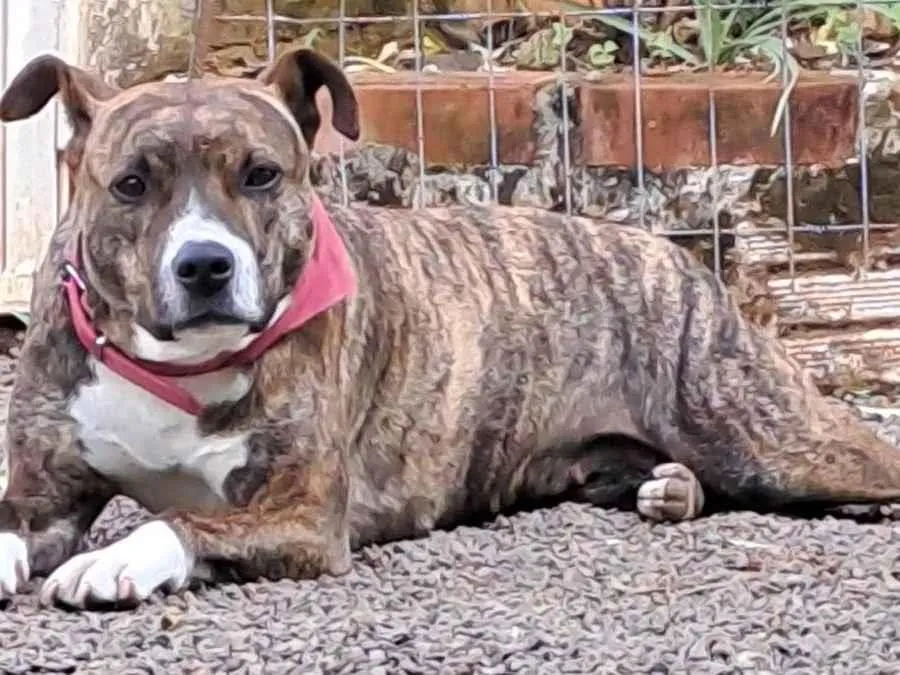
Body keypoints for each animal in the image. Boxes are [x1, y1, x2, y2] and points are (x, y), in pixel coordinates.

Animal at [0, 47, 899, 611]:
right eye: (130, 184)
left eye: (260, 175)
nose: (205, 265)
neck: (177, 367)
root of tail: (671, 252)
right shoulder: (44, 493)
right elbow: (16, 522)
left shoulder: (303, 513)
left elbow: (184, 519)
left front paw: (114, 558)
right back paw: (669, 489)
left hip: (769, 437)